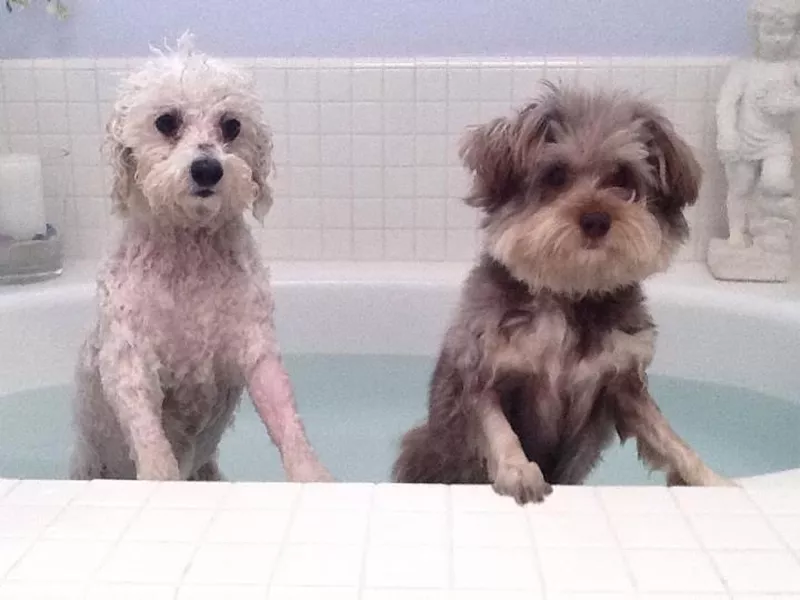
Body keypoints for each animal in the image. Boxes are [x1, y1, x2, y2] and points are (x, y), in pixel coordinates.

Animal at [69, 36, 332, 482]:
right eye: (166, 121)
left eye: (231, 126)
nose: (207, 169)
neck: (189, 253)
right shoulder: (129, 357)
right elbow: (146, 426)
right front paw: (159, 476)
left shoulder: (255, 345)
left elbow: (283, 412)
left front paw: (310, 474)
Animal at [394, 82, 732, 504]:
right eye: (555, 175)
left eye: (623, 177)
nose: (596, 219)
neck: (569, 294)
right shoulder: (484, 376)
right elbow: (497, 428)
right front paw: (518, 471)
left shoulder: (623, 385)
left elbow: (668, 436)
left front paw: (713, 480)